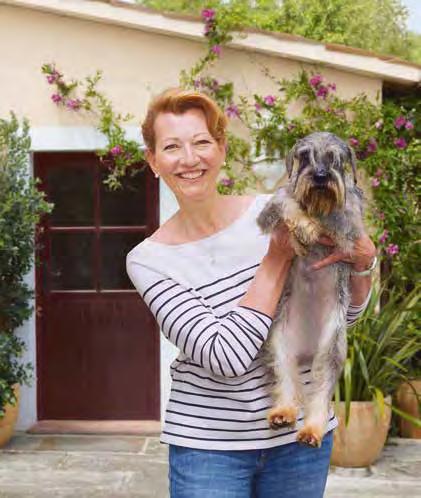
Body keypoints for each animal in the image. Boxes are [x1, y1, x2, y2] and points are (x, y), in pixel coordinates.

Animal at [256, 131, 364, 448]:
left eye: (335, 158)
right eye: (304, 156)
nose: (320, 177)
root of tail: (306, 350)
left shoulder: (349, 226)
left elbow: (334, 216)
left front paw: (311, 227)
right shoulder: (269, 213)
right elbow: (286, 201)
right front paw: (304, 227)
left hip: (331, 350)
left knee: (320, 395)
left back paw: (311, 430)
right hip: (278, 345)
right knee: (286, 383)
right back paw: (282, 413)